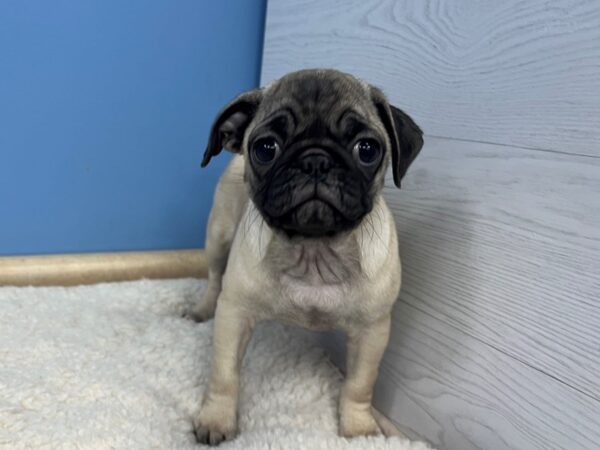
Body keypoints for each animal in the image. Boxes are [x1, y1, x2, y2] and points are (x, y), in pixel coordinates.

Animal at [188, 68, 422, 444]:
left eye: (367, 149)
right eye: (265, 148)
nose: (315, 160)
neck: (314, 251)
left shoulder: (372, 331)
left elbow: (359, 385)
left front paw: (359, 430)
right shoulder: (234, 314)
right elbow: (224, 375)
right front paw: (217, 420)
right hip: (218, 237)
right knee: (213, 278)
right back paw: (200, 310)